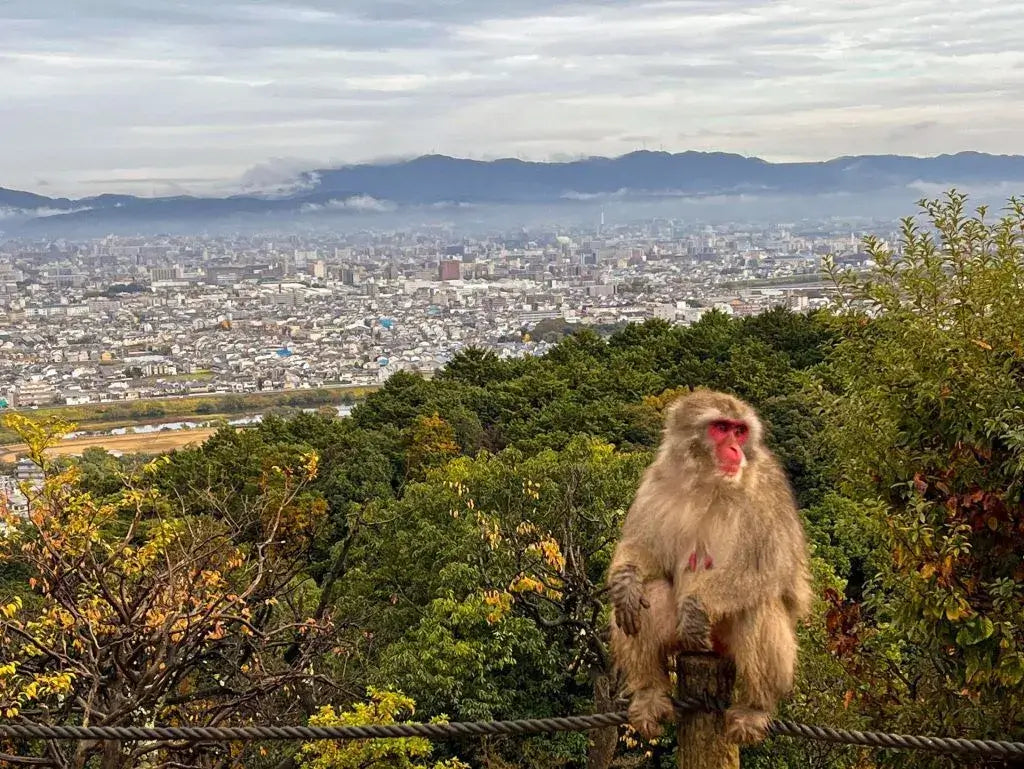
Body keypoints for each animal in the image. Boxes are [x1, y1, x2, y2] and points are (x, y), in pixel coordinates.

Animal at [607, 388, 812, 744]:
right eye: (720, 428)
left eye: (740, 431)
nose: (734, 450)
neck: (708, 481)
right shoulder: (656, 480)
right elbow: (643, 548)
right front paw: (625, 583)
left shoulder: (766, 491)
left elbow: (770, 567)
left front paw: (696, 607)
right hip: (683, 642)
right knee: (651, 594)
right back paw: (650, 693)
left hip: (723, 644)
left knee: (756, 605)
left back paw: (755, 707)